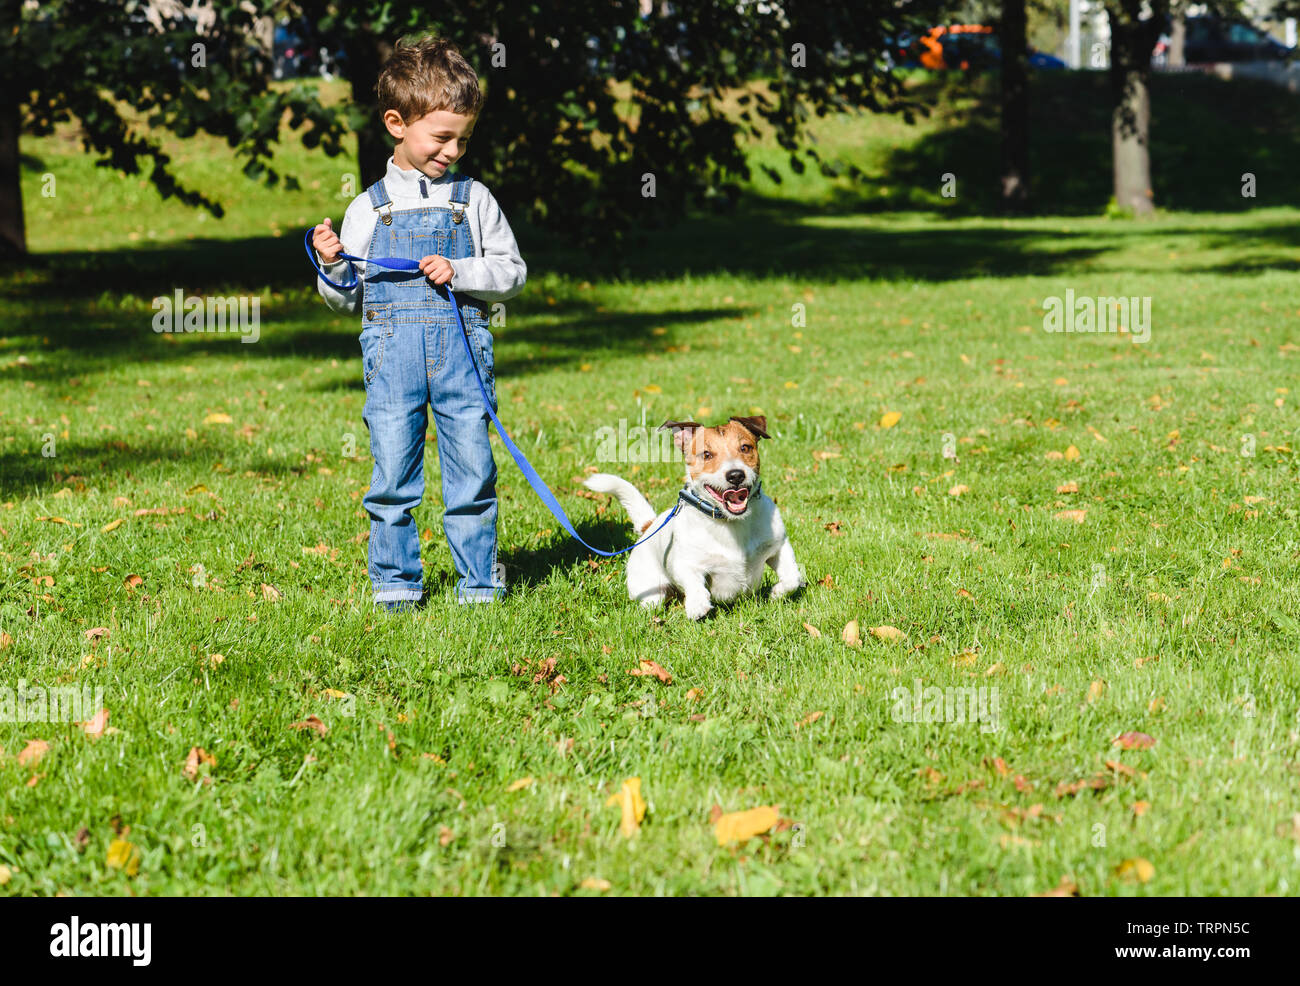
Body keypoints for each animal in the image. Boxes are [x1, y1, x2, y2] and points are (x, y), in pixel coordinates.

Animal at [587, 418, 800, 621]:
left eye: (745, 448)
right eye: (706, 455)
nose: (736, 475)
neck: (731, 522)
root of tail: (649, 526)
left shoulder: (779, 546)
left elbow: (793, 578)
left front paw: (776, 592)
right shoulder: (685, 564)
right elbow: (693, 581)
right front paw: (697, 604)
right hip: (650, 591)